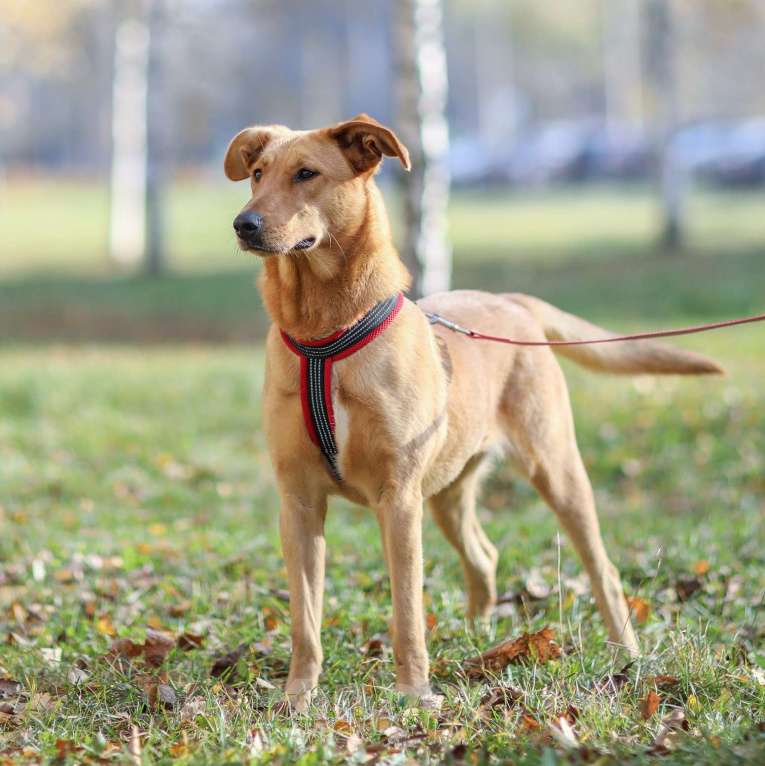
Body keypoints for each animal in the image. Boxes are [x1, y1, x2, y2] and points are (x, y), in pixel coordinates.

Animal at [222, 115, 724, 712]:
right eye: (257, 173)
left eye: (306, 173)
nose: (243, 224)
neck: (325, 336)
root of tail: (511, 300)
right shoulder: (298, 501)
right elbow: (305, 618)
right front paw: (299, 696)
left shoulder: (398, 499)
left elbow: (407, 613)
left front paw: (413, 693)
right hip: (447, 491)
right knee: (484, 556)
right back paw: (478, 640)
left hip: (553, 469)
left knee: (601, 567)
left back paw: (627, 652)